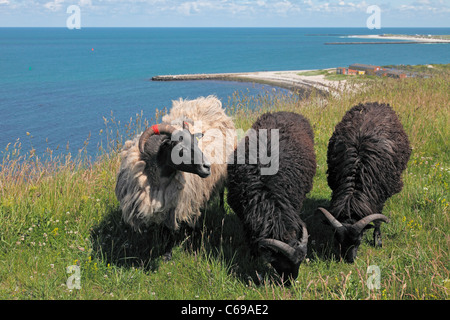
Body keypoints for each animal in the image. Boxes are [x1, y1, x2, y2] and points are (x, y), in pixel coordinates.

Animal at [115, 95, 236, 260]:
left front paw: (170, 252)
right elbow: (164, 229)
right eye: (180, 149)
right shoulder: (161, 203)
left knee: (221, 191)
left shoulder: (177, 203)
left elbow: (172, 230)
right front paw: (164, 246)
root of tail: (207, 100)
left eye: (196, 143)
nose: (207, 166)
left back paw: (221, 209)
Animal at [225, 112, 316, 282]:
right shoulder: (244, 215)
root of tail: (288, 112)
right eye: (280, 260)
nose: (289, 283)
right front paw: (253, 256)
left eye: (299, 262)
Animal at [318, 102, 410, 262]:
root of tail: (376, 103)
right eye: (337, 240)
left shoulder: (379, 197)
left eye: (359, 240)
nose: (349, 261)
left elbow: (378, 219)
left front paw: (378, 241)